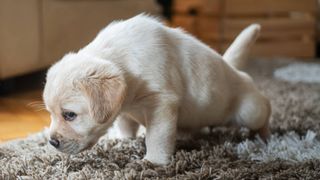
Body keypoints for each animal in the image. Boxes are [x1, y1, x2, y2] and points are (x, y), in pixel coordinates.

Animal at [43, 14, 272, 165]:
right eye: (51, 114)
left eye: (69, 115)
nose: (52, 142)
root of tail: (234, 69)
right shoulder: (124, 105)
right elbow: (126, 123)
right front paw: (123, 140)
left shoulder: (162, 102)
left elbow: (156, 136)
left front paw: (153, 162)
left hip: (250, 111)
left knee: (265, 111)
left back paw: (265, 138)